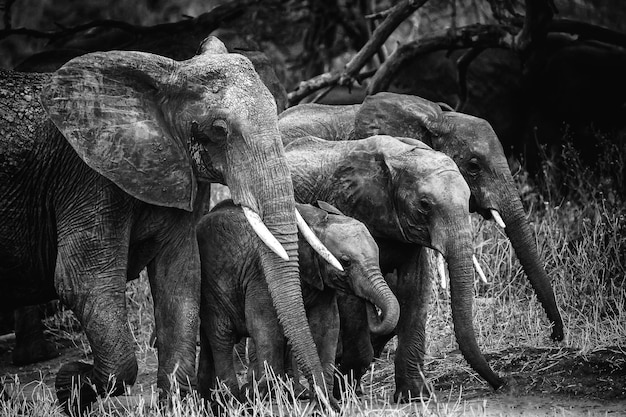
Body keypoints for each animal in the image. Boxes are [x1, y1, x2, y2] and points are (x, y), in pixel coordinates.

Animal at [0, 36, 334, 412]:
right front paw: (69, 383)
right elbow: (82, 282)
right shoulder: (86, 178)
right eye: (219, 130)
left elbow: (180, 275)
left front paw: (176, 405)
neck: (167, 75)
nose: (322, 399)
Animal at [196, 200, 400, 402]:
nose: (368, 303)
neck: (315, 221)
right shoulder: (260, 275)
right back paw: (232, 397)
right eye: (346, 262)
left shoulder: (320, 282)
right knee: (222, 336)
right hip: (212, 288)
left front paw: (321, 400)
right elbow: (264, 326)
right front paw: (266, 395)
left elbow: (327, 325)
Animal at [282, 135, 502, 398]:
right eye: (425, 204)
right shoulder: (345, 204)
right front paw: (344, 389)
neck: (400, 157)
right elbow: (351, 301)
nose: (501, 384)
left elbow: (415, 287)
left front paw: (414, 396)